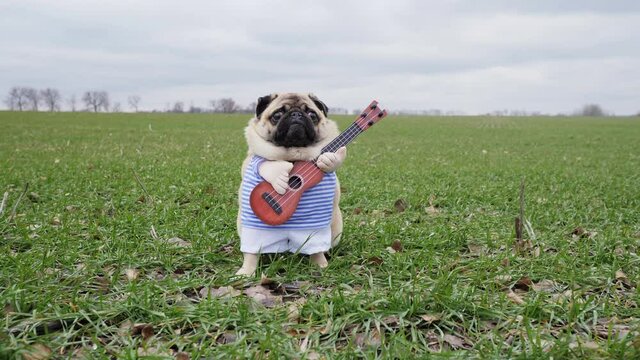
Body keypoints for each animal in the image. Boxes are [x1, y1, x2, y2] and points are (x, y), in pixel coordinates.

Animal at [236, 93, 348, 276]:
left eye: (312, 115)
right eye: (277, 115)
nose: (296, 115)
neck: (293, 155)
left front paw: (330, 160)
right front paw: (277, 172)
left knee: (316, 248)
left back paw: (320, 264)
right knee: (252, 250)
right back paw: (247, 271)